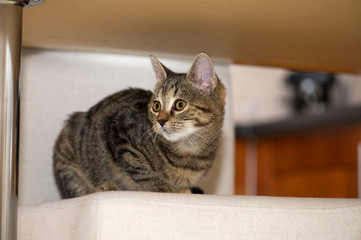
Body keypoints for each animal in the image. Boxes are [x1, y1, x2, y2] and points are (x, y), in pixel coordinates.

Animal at [53, 53, 225, 198]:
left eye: (180, 104)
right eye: (156, 106)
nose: (160, 120)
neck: (188, 152)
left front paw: (182, 189)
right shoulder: (119, 128)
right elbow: (139, 167)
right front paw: (161, 185)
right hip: (67, 155)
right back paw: (103, 187)